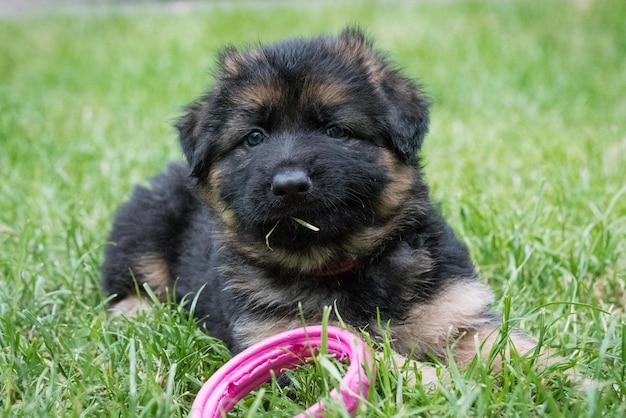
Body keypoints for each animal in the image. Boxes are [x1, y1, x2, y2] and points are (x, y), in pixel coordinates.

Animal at [102, 27, 540, 382]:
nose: (290, 186)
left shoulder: (453, 310)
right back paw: (139, 316)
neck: (341, 266)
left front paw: (551, 377)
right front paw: (448, 386)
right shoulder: (286, 339)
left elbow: (512, 349)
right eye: (254, 137)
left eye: (335, 130)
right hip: (145, 224)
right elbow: (388, 362)